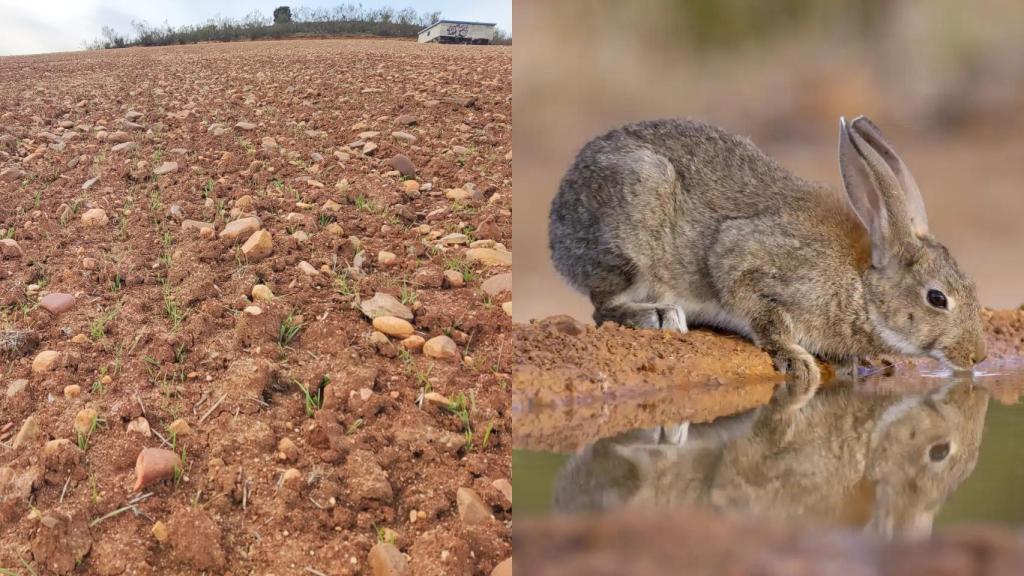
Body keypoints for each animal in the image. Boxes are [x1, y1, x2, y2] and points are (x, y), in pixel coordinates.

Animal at [549, 117, 987, 401]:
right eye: (937, 298)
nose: (978, 355)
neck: (861, 285)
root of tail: (558, 221)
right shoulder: (745, 263)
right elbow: (764, 315)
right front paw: (797, 361)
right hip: (634, 231)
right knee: (603, 306)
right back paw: (659, 316)